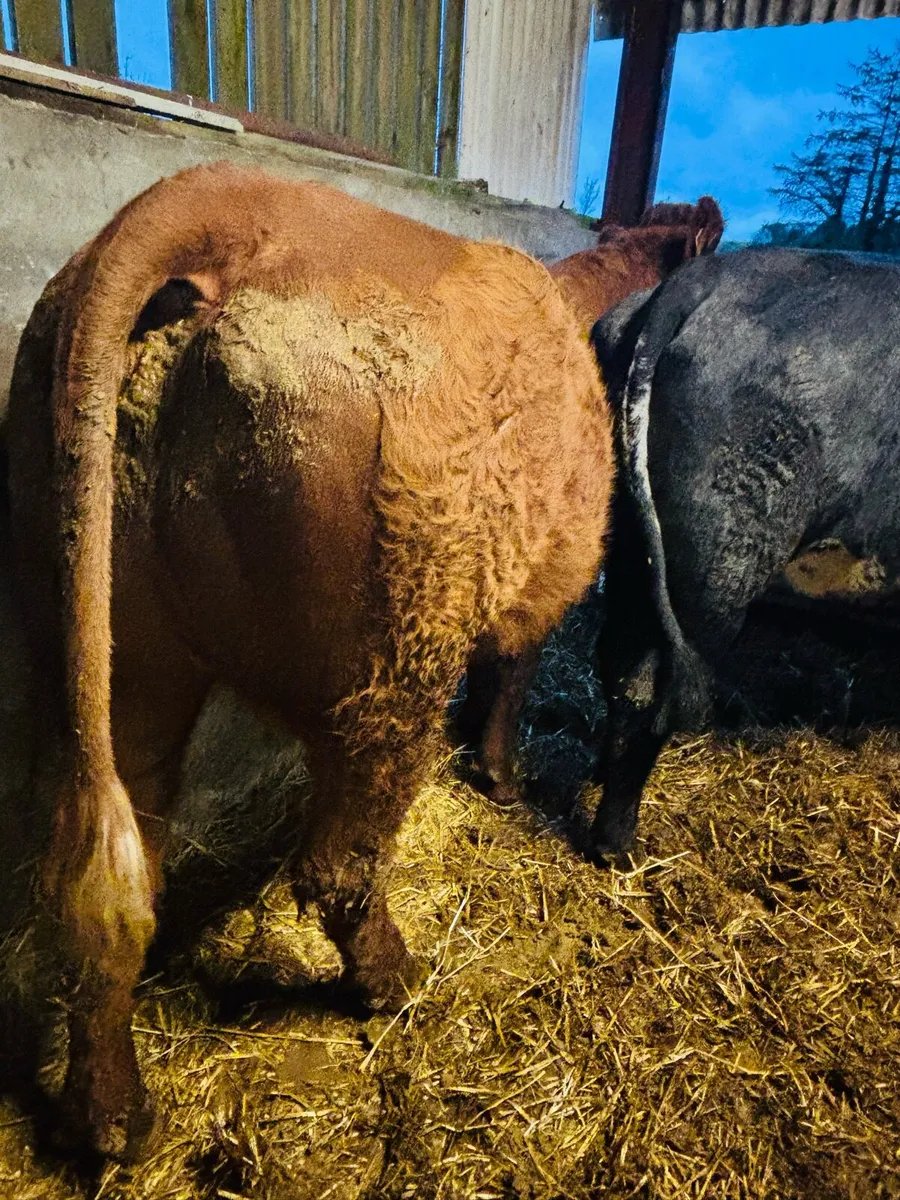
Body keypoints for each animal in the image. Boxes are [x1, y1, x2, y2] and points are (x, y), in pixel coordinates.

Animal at [4, 161, 613, 1160]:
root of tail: (217, 198)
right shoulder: (544, 578)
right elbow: (513, 676)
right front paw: (502, 780)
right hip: (394, 659)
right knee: (339, 864)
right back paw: (392, 983)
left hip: (123, 644)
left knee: (119, 866)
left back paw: (116, 1116)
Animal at [588, 246, 900, 858]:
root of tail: (707, 274)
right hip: (723, 558)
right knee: (654, 684)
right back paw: (617, 845)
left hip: (630, 546)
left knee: (616, 663)